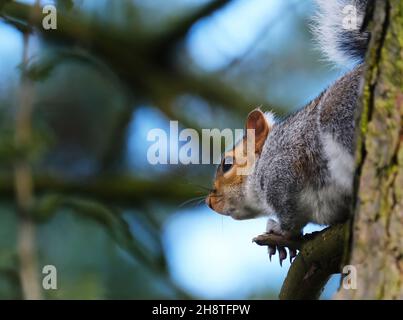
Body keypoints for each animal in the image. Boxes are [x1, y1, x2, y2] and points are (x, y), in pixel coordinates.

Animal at [207, 0, 370, 264]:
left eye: (227, 164)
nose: (209, 202)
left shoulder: (283, 170)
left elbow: (290, 216)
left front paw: (279, 231)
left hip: (340, 115)